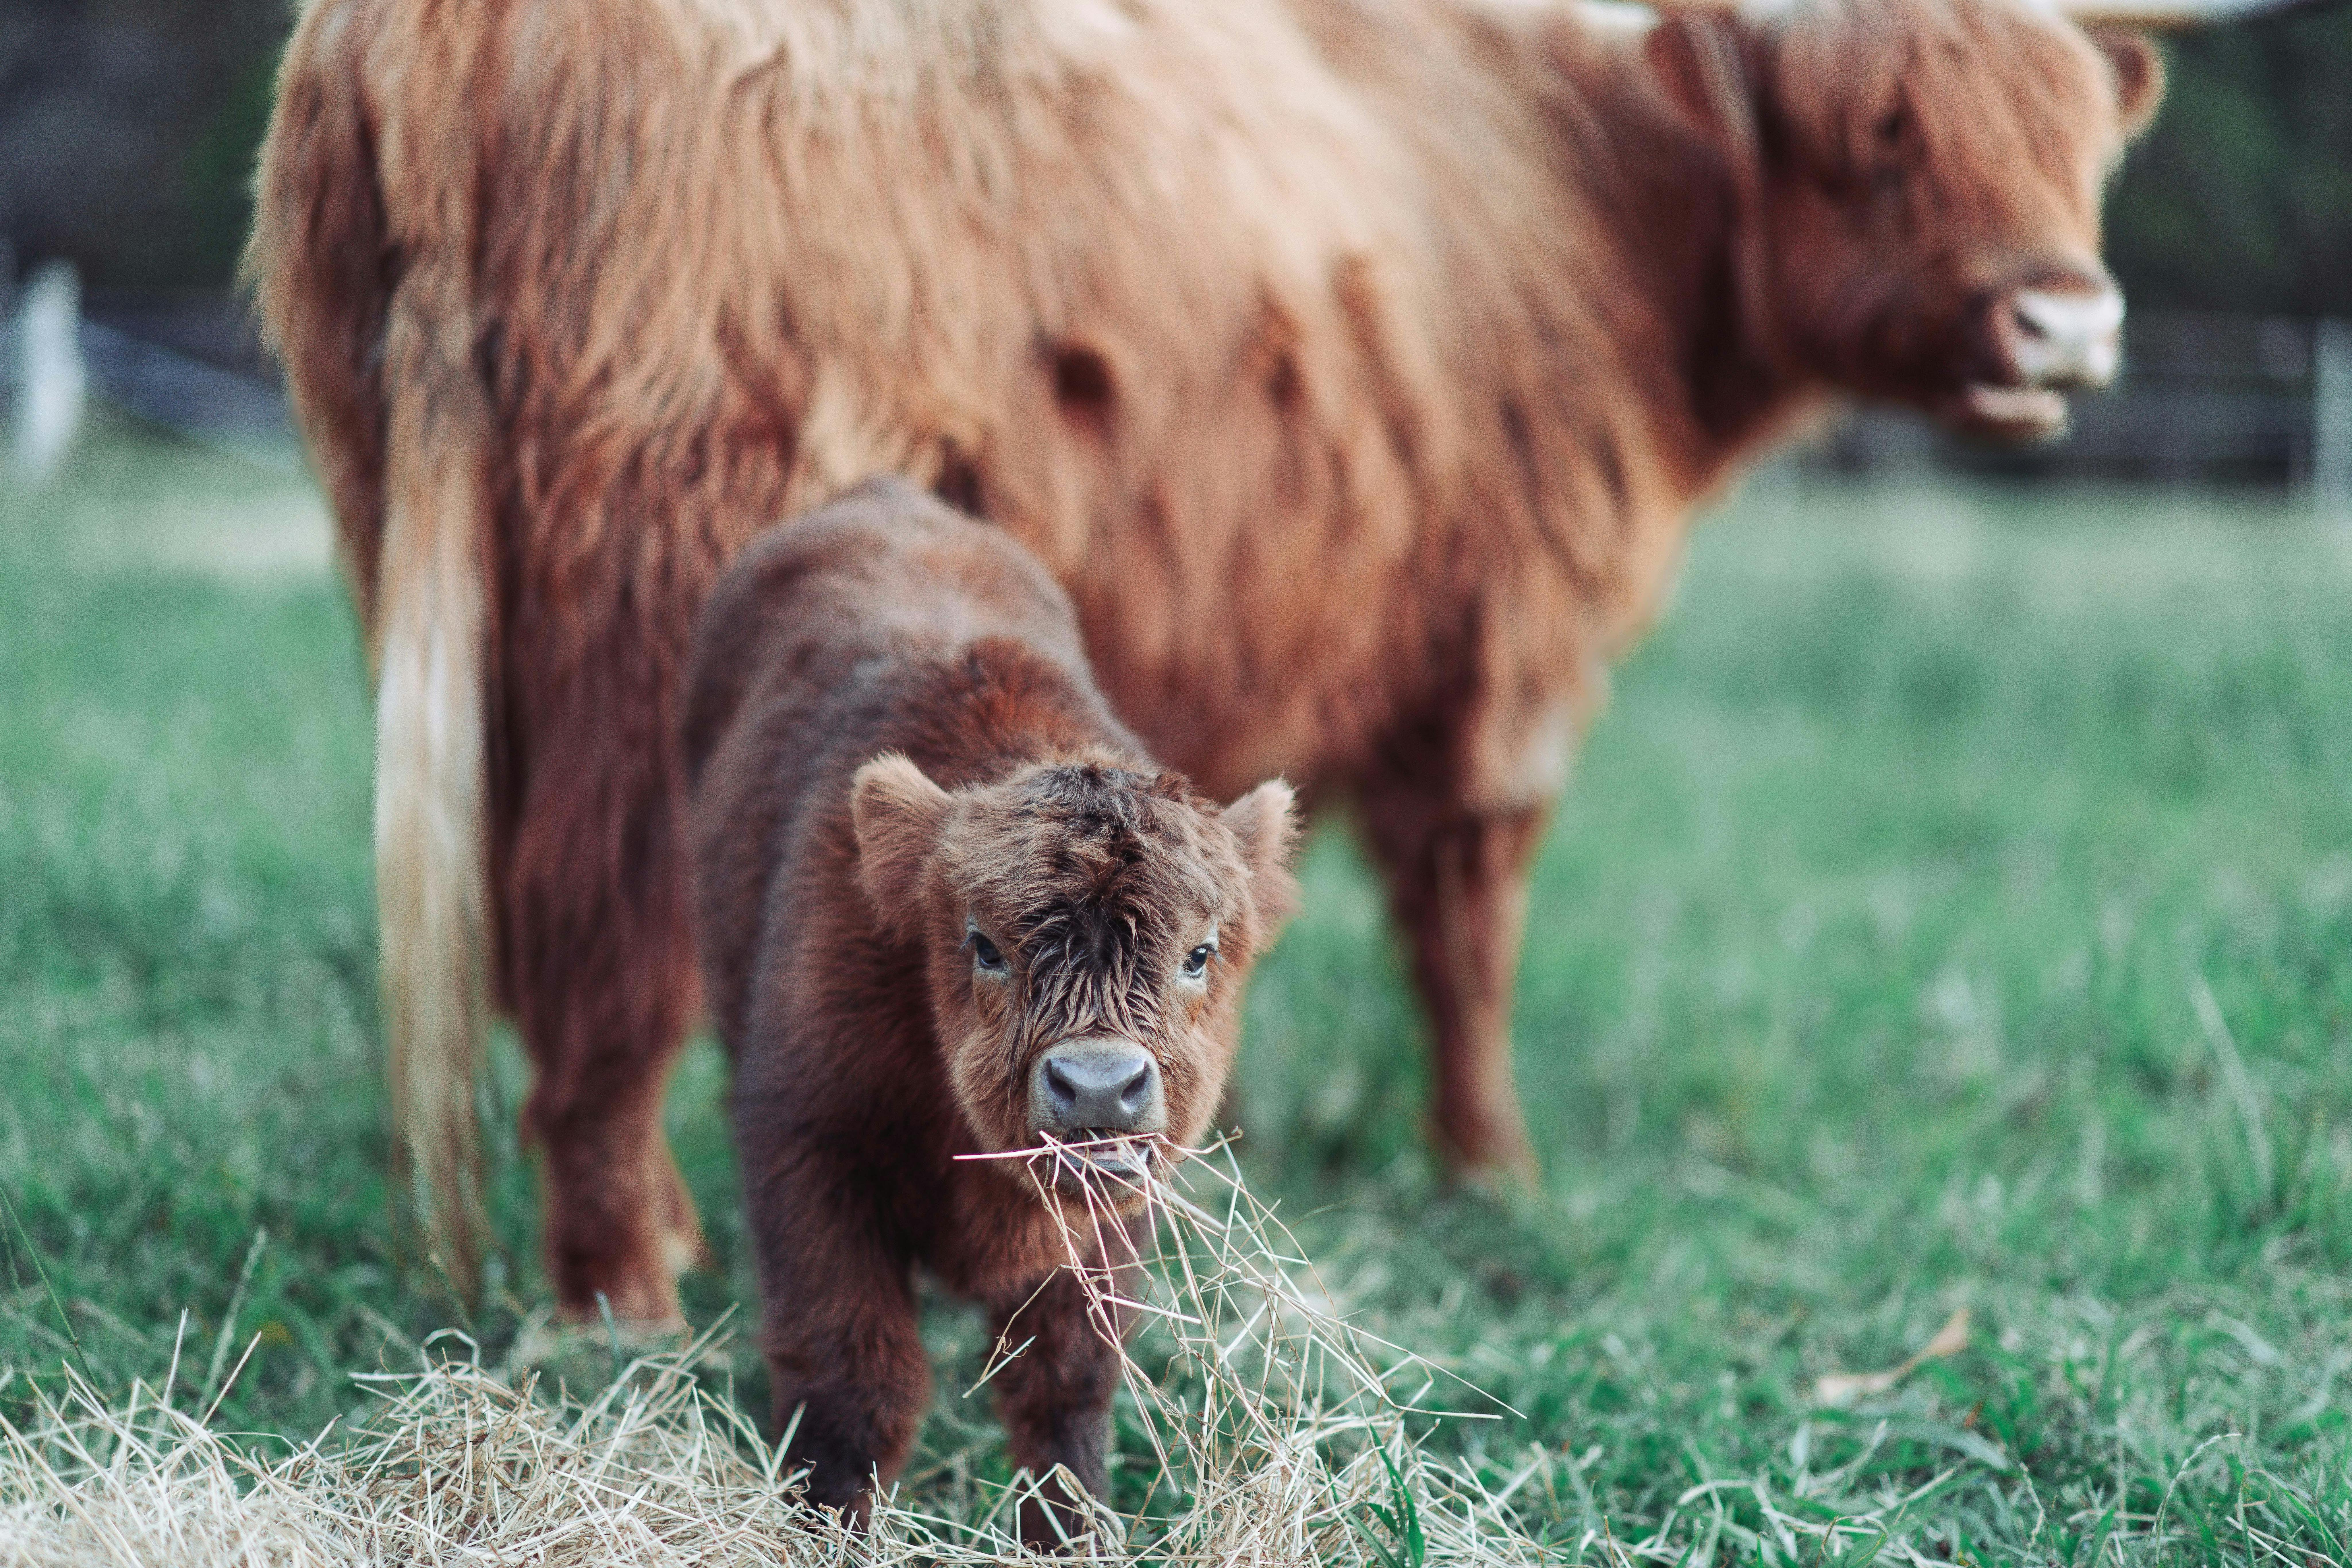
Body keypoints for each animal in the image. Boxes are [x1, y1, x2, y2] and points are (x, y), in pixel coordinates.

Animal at [249, 0, 2168, 1322]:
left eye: (2078, 138)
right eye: (1882, 132)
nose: (2066, 324)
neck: (1595, 198)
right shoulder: (1505, 658)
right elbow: (1467, 930)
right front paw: (1494, 1169)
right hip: (640, 628)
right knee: (606, 966)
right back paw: (621, 1299)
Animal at [682, 476, 1298, 1544]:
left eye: (1200, 952)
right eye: (983, 945)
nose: (1098, 1086)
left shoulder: (1108, 1224)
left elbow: (1067, 1381)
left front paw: (1071, 1535)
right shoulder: (808, 1156)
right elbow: (855, 1377)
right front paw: (830, 1528)